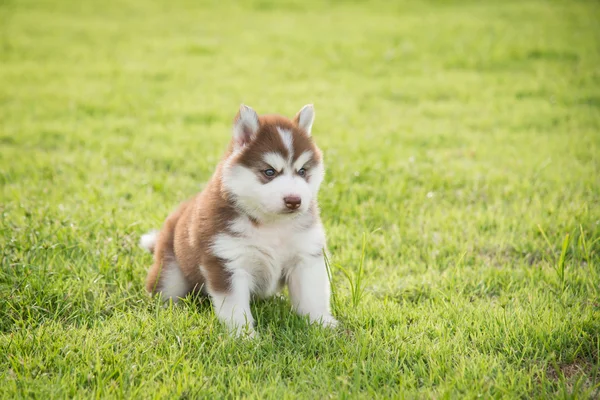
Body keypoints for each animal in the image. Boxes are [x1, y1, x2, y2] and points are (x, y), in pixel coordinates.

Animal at [141, 104, 338, 336]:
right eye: (269, 172)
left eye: (302, 171)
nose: (294, 201)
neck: (272, 225)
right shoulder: (227, 262)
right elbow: (235, 307)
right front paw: (243, 336)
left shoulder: (306, 256)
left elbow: (312, 297)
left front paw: (322, 324)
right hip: (170, 269)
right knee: (166, 290)